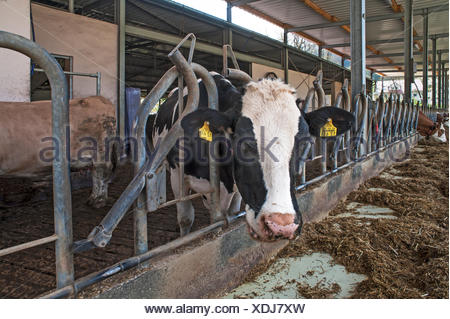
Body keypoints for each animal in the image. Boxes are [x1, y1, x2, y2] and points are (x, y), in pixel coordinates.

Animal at [151, 74, 356, 241]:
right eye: (244, 144)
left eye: (304, 142)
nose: (282, 225)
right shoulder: (177, 176)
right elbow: (185, 218)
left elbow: (231, 212)